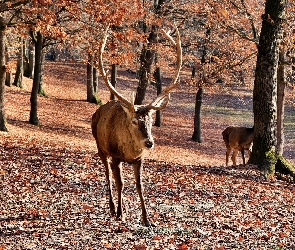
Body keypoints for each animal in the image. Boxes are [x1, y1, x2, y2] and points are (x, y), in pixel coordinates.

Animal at [91, 25, 183, 227]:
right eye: (134, 121)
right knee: (107, 174)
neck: (128, 152)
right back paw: (113, 208)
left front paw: (147, 218)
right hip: (100, 147)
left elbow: (139, 185)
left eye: (150, 121)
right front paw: (121, 214)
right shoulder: (115, 156)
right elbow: (121, 183)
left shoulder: (139, 159)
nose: (149, 142)